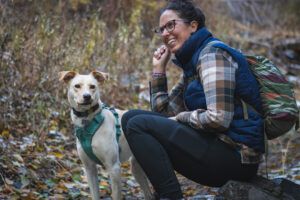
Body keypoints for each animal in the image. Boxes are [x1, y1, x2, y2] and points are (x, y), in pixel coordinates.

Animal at [58, 71, 154, 199]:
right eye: (77, 86)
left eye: (92, 86)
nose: (87, 96)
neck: (89, 120)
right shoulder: (89, 168)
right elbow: (94, 194)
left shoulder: (114, 167)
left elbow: (116, 195)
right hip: (136, 168)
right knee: (149, 194)